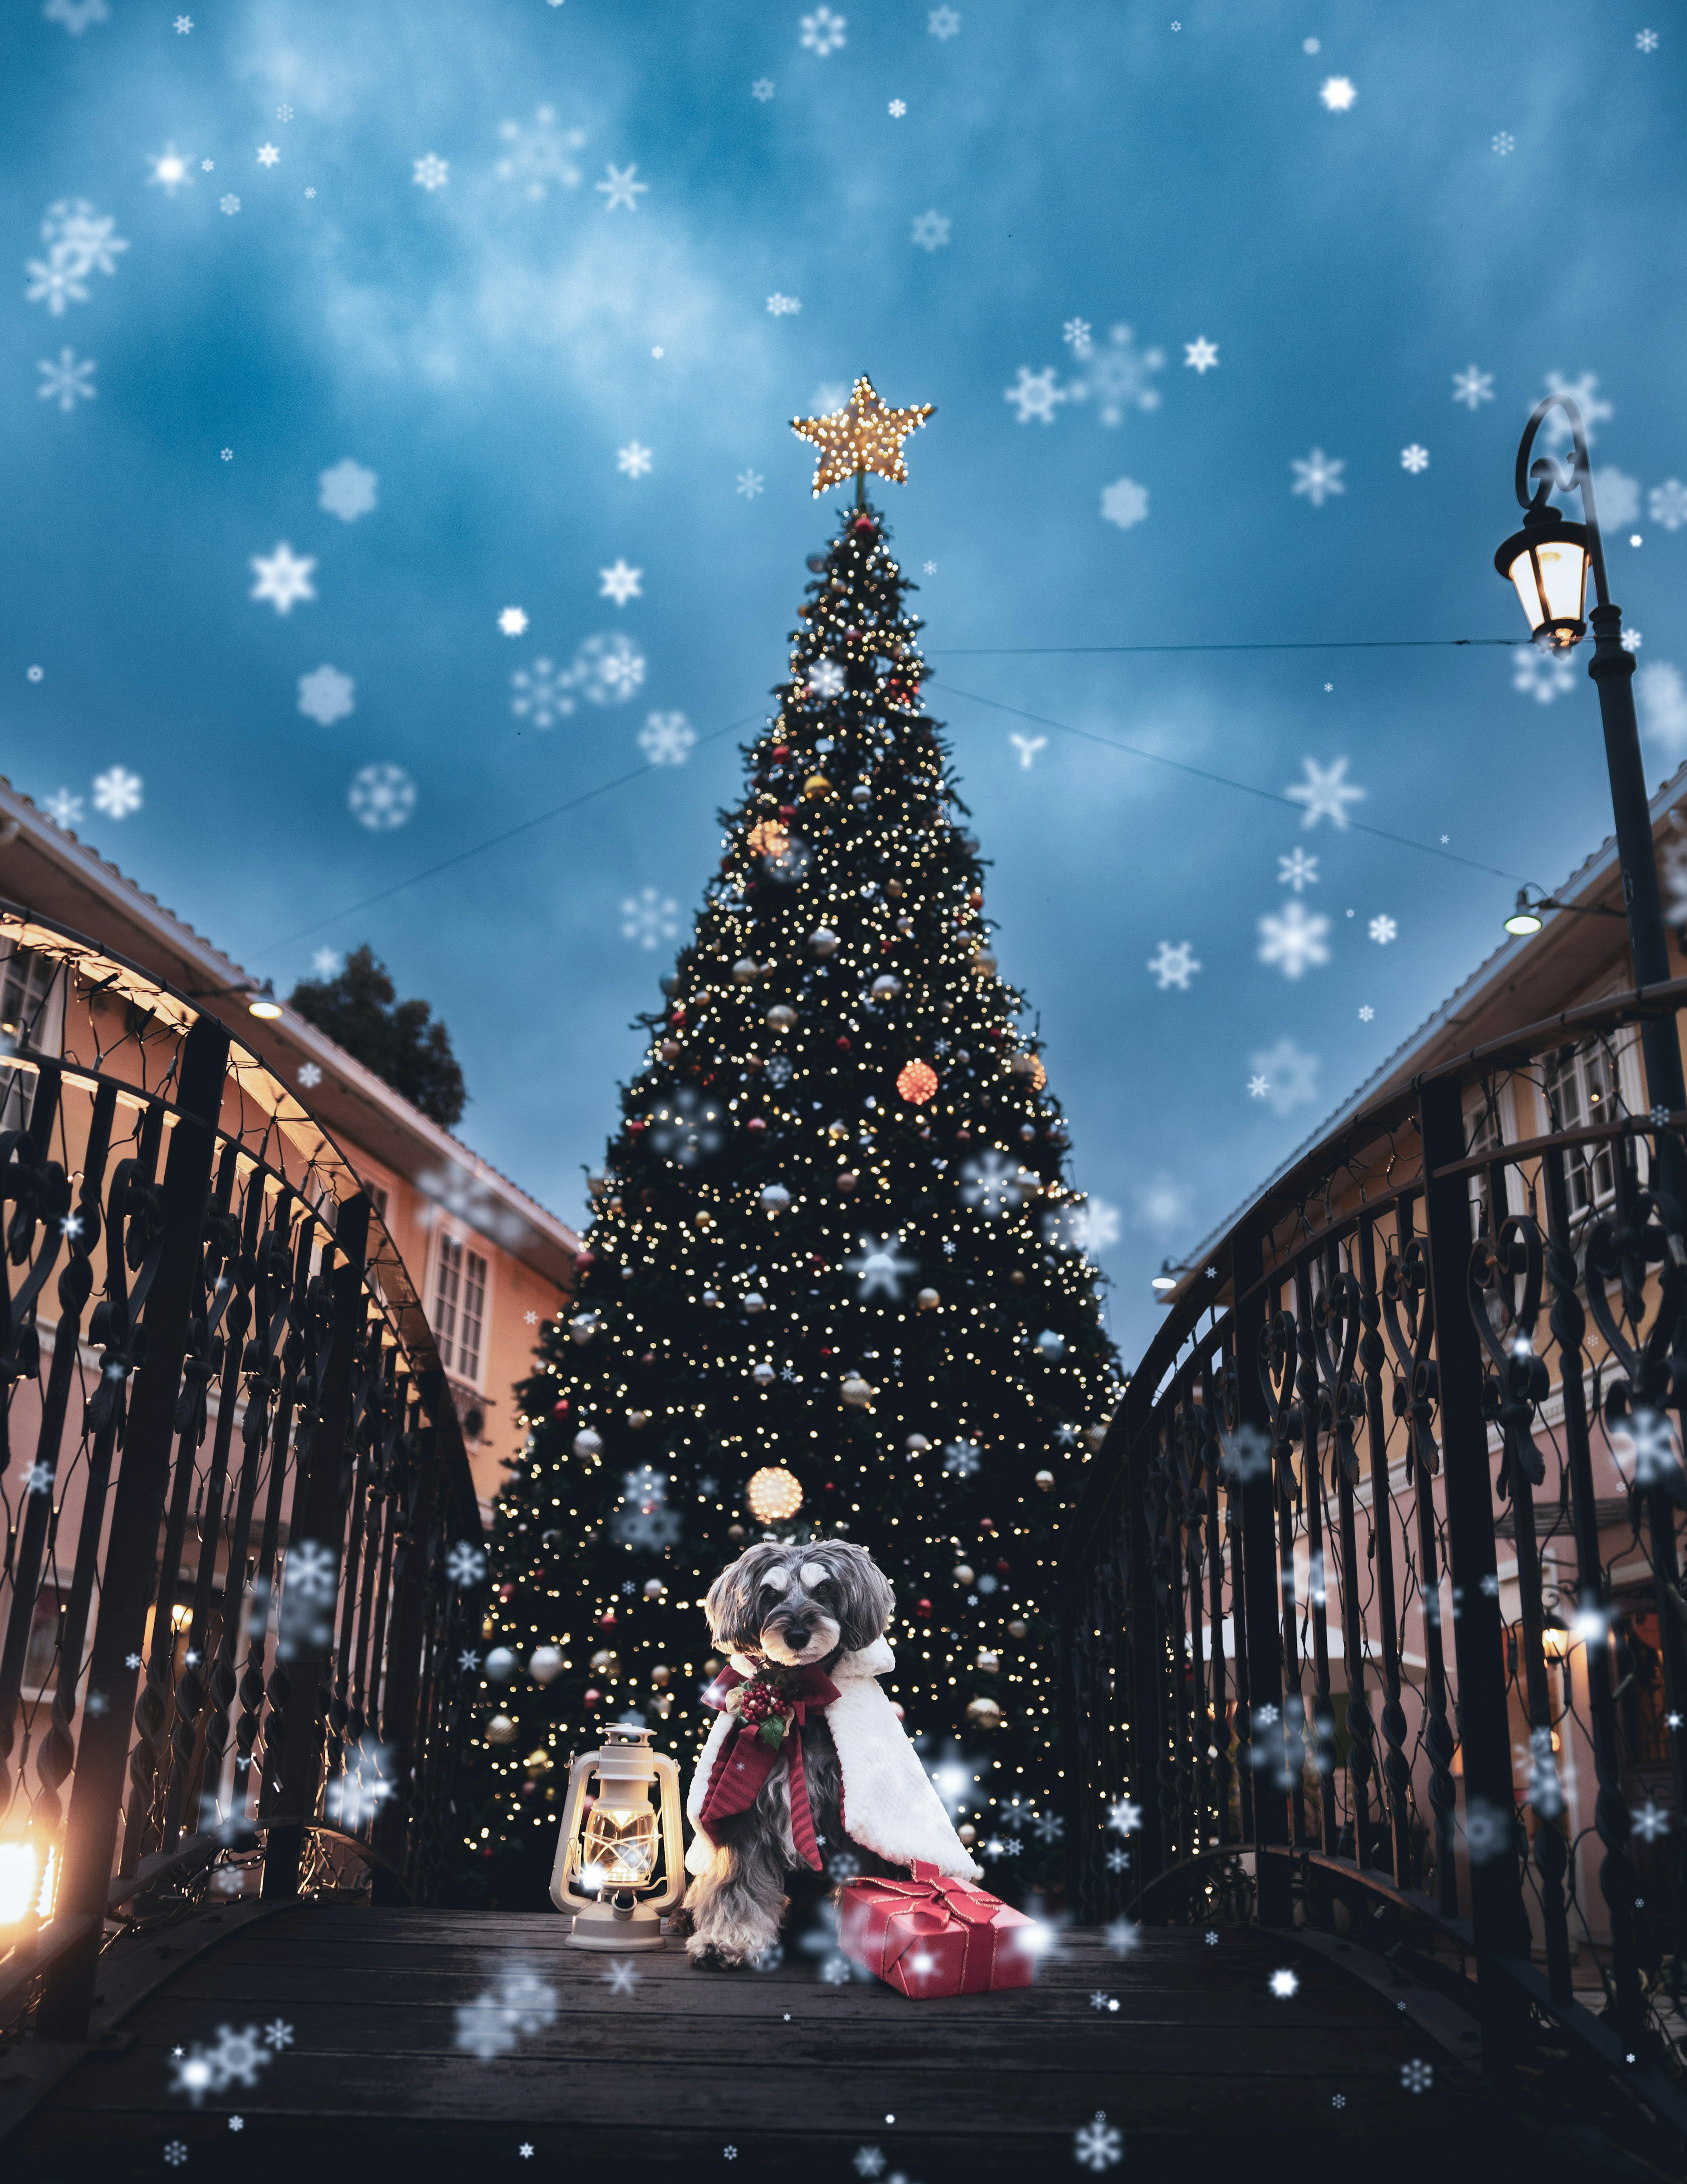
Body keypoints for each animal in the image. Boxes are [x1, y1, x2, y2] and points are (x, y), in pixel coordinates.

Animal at [676, 1537, 982, 1983]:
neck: (800, 1698)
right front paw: (727, 1943)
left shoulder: (849, 1825)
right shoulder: (743, 1813)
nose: (798, 1634)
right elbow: (737, 1885)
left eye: (825, 1590)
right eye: (770, 1594)